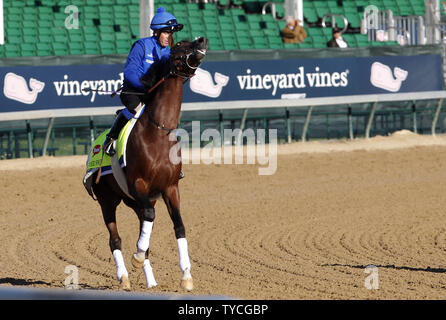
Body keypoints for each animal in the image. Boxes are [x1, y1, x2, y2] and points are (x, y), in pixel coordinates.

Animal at [92, 37, 209, 290]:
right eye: (179, 46)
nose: (202, 40)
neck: (159, 131)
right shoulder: (138, 184)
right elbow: (148, 221)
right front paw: (136, 257)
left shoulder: (170, 188)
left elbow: (178, 226)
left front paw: (186, 275)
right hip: (107, 201)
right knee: (115, 239)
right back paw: (124, 276)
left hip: (136, 201)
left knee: (144, 224)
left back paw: (151, 281)